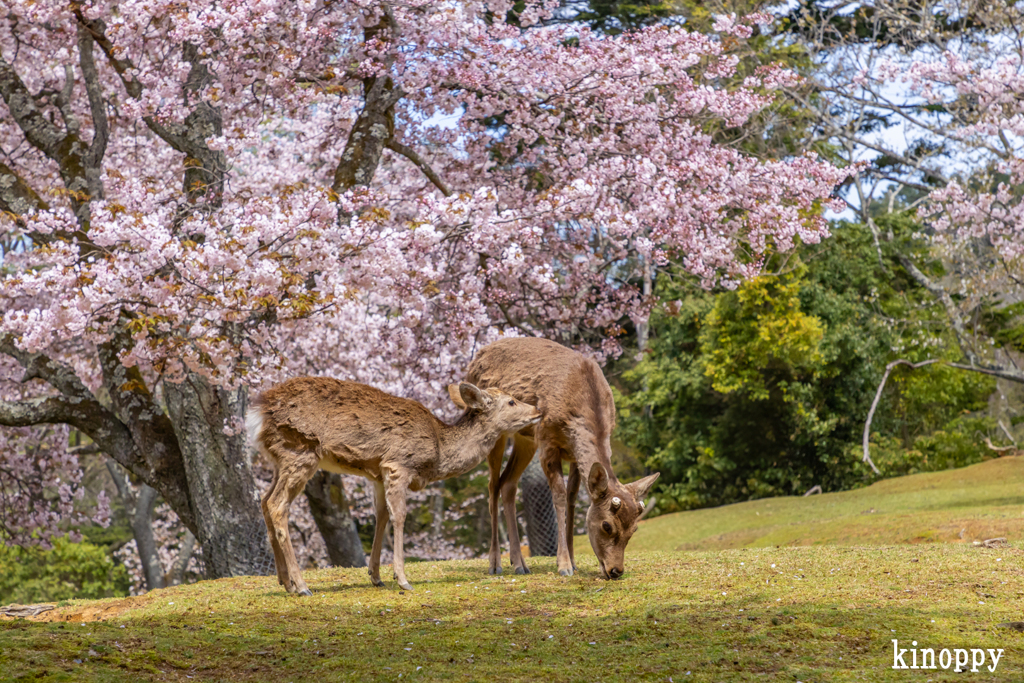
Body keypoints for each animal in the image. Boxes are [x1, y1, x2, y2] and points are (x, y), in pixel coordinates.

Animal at [245, 376, 544, 593]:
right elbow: (399, 516)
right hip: (300, 449)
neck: (438, 451)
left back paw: (285, 582)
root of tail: (258, 412)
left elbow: (382, 516)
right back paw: (302, 585)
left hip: (279, 458)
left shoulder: (377, 473)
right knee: (277, 504)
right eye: (511, 401)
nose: (538, 410)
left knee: (264, 501)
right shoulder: (398, 464)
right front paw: (402, 578)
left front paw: (376, 576)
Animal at [460, 335, 659, 581]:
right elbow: (559, 495)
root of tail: (474, 361)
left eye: (634, 529)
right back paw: (495, 563)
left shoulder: (572, 453)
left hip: (526, 439)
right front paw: (563, 565)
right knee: (492, 485)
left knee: (508, 483)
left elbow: (572, 497)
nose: (616, 570)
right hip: (498, 432)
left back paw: (519, 563)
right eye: (606, 525)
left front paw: (573, 561)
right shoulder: (547, 441)